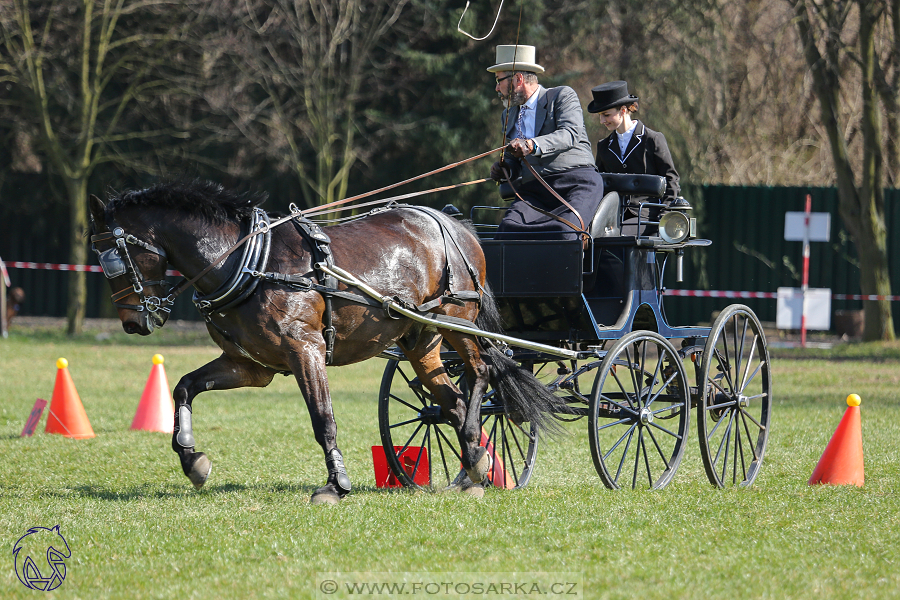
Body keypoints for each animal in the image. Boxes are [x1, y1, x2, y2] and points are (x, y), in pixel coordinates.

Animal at [88, 180, 560, 504]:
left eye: (113, 256)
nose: (132, 323)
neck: (247, 262)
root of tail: (454, 225)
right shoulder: (251, 365)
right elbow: (184, 386)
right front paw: (193, 461)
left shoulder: (305, 350)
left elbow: (323, 418)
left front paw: (336, 484)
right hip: (420, 342)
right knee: (452, 402)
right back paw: (475, 466)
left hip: (457, 322)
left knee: (479, 374)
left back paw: (476, 451)